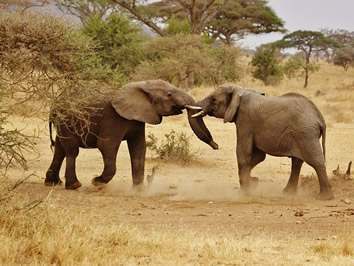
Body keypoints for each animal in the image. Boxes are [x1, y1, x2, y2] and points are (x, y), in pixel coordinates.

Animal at [45, 79, 217, 189]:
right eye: (169, 94)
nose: (216, 146)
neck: (141, 85)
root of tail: (54, 103)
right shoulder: (114, 117)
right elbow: (106, 146)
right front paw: (96, 182)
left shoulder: (138, 118)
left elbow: (139, 148)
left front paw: (139, 189)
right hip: (65, 119)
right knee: (72, 150)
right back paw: (74, 185)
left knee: (60, 149)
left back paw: (53, 183)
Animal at [192, 84, 334, 200]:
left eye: (213, 98)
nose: (216, 146)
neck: (240, 89)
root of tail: (321, 119)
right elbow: (258, 157)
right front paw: (254, 182)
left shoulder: (245, 121)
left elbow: (243, 154)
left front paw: (243, 193)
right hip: (301, 134)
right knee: (297, 162)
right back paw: (287, 193)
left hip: (305, 133)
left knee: (315, 161)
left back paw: (324, 197)